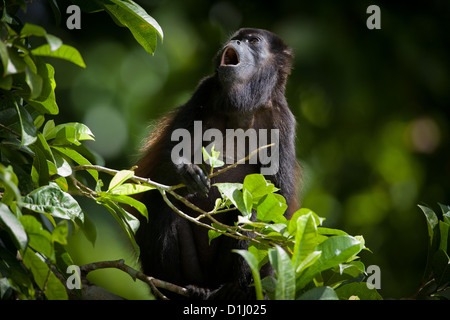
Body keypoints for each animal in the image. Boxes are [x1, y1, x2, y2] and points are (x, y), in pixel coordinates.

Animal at [135, 28, 300, 300]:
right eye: (235, 37)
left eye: (253, 41)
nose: (235, 42)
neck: (243, 108)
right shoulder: (204, 91)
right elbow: (163, 166)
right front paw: (186, 173)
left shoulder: (283, 120)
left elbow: (278, 201)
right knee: (166, 208)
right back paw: (183, 288)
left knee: (249, 215)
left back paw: (235, 289)